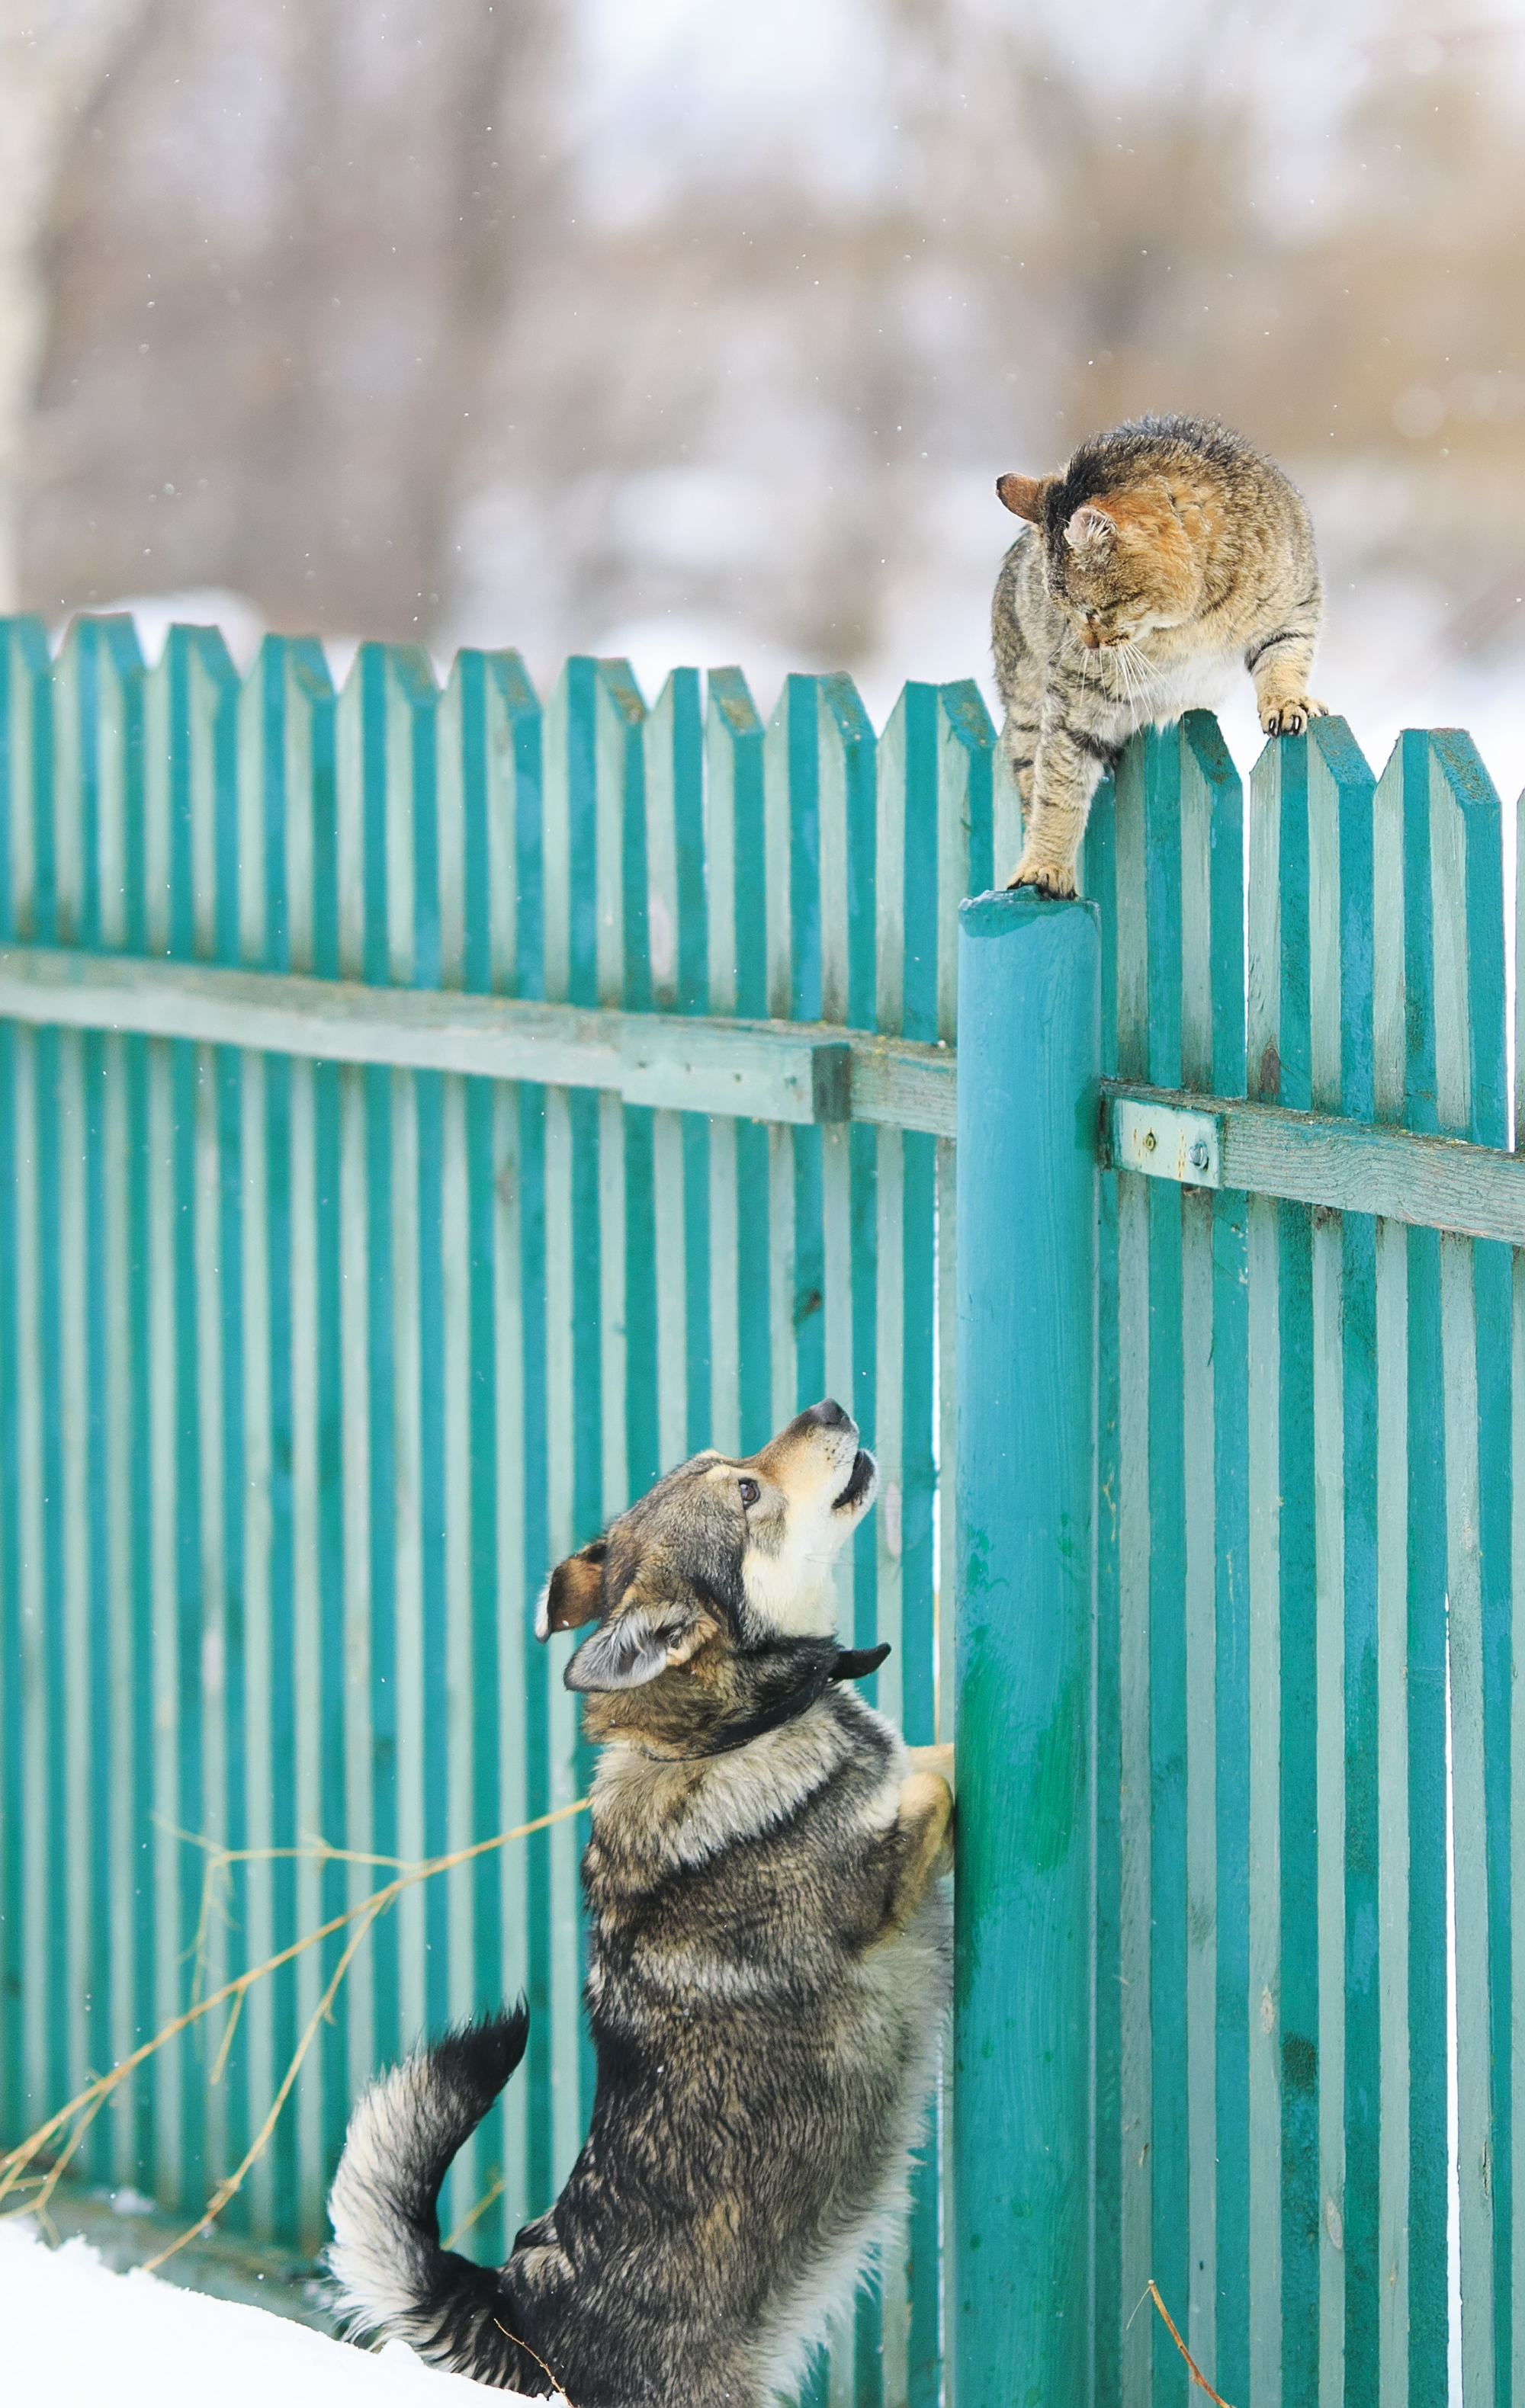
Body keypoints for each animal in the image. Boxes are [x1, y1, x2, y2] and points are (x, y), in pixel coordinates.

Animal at [327, 1406, 954, 2398]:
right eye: (747, 1492)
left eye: (732, 1462)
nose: (828, 1410)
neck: (732, 1736)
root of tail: (516, 2313)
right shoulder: (881, 1887)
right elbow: (938, 1780)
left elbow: (917, 1759)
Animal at [987, 409, 1320, 900]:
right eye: (1063, 611)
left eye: (1092, 610)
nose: (1086, 643)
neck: (1192, 619)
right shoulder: (1075, 696)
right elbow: (1058, 790)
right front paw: (1044, 864)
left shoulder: (1295, 606)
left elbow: (1285, 660)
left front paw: (1285, 702)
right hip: (1028, 707)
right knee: (1032, 775)